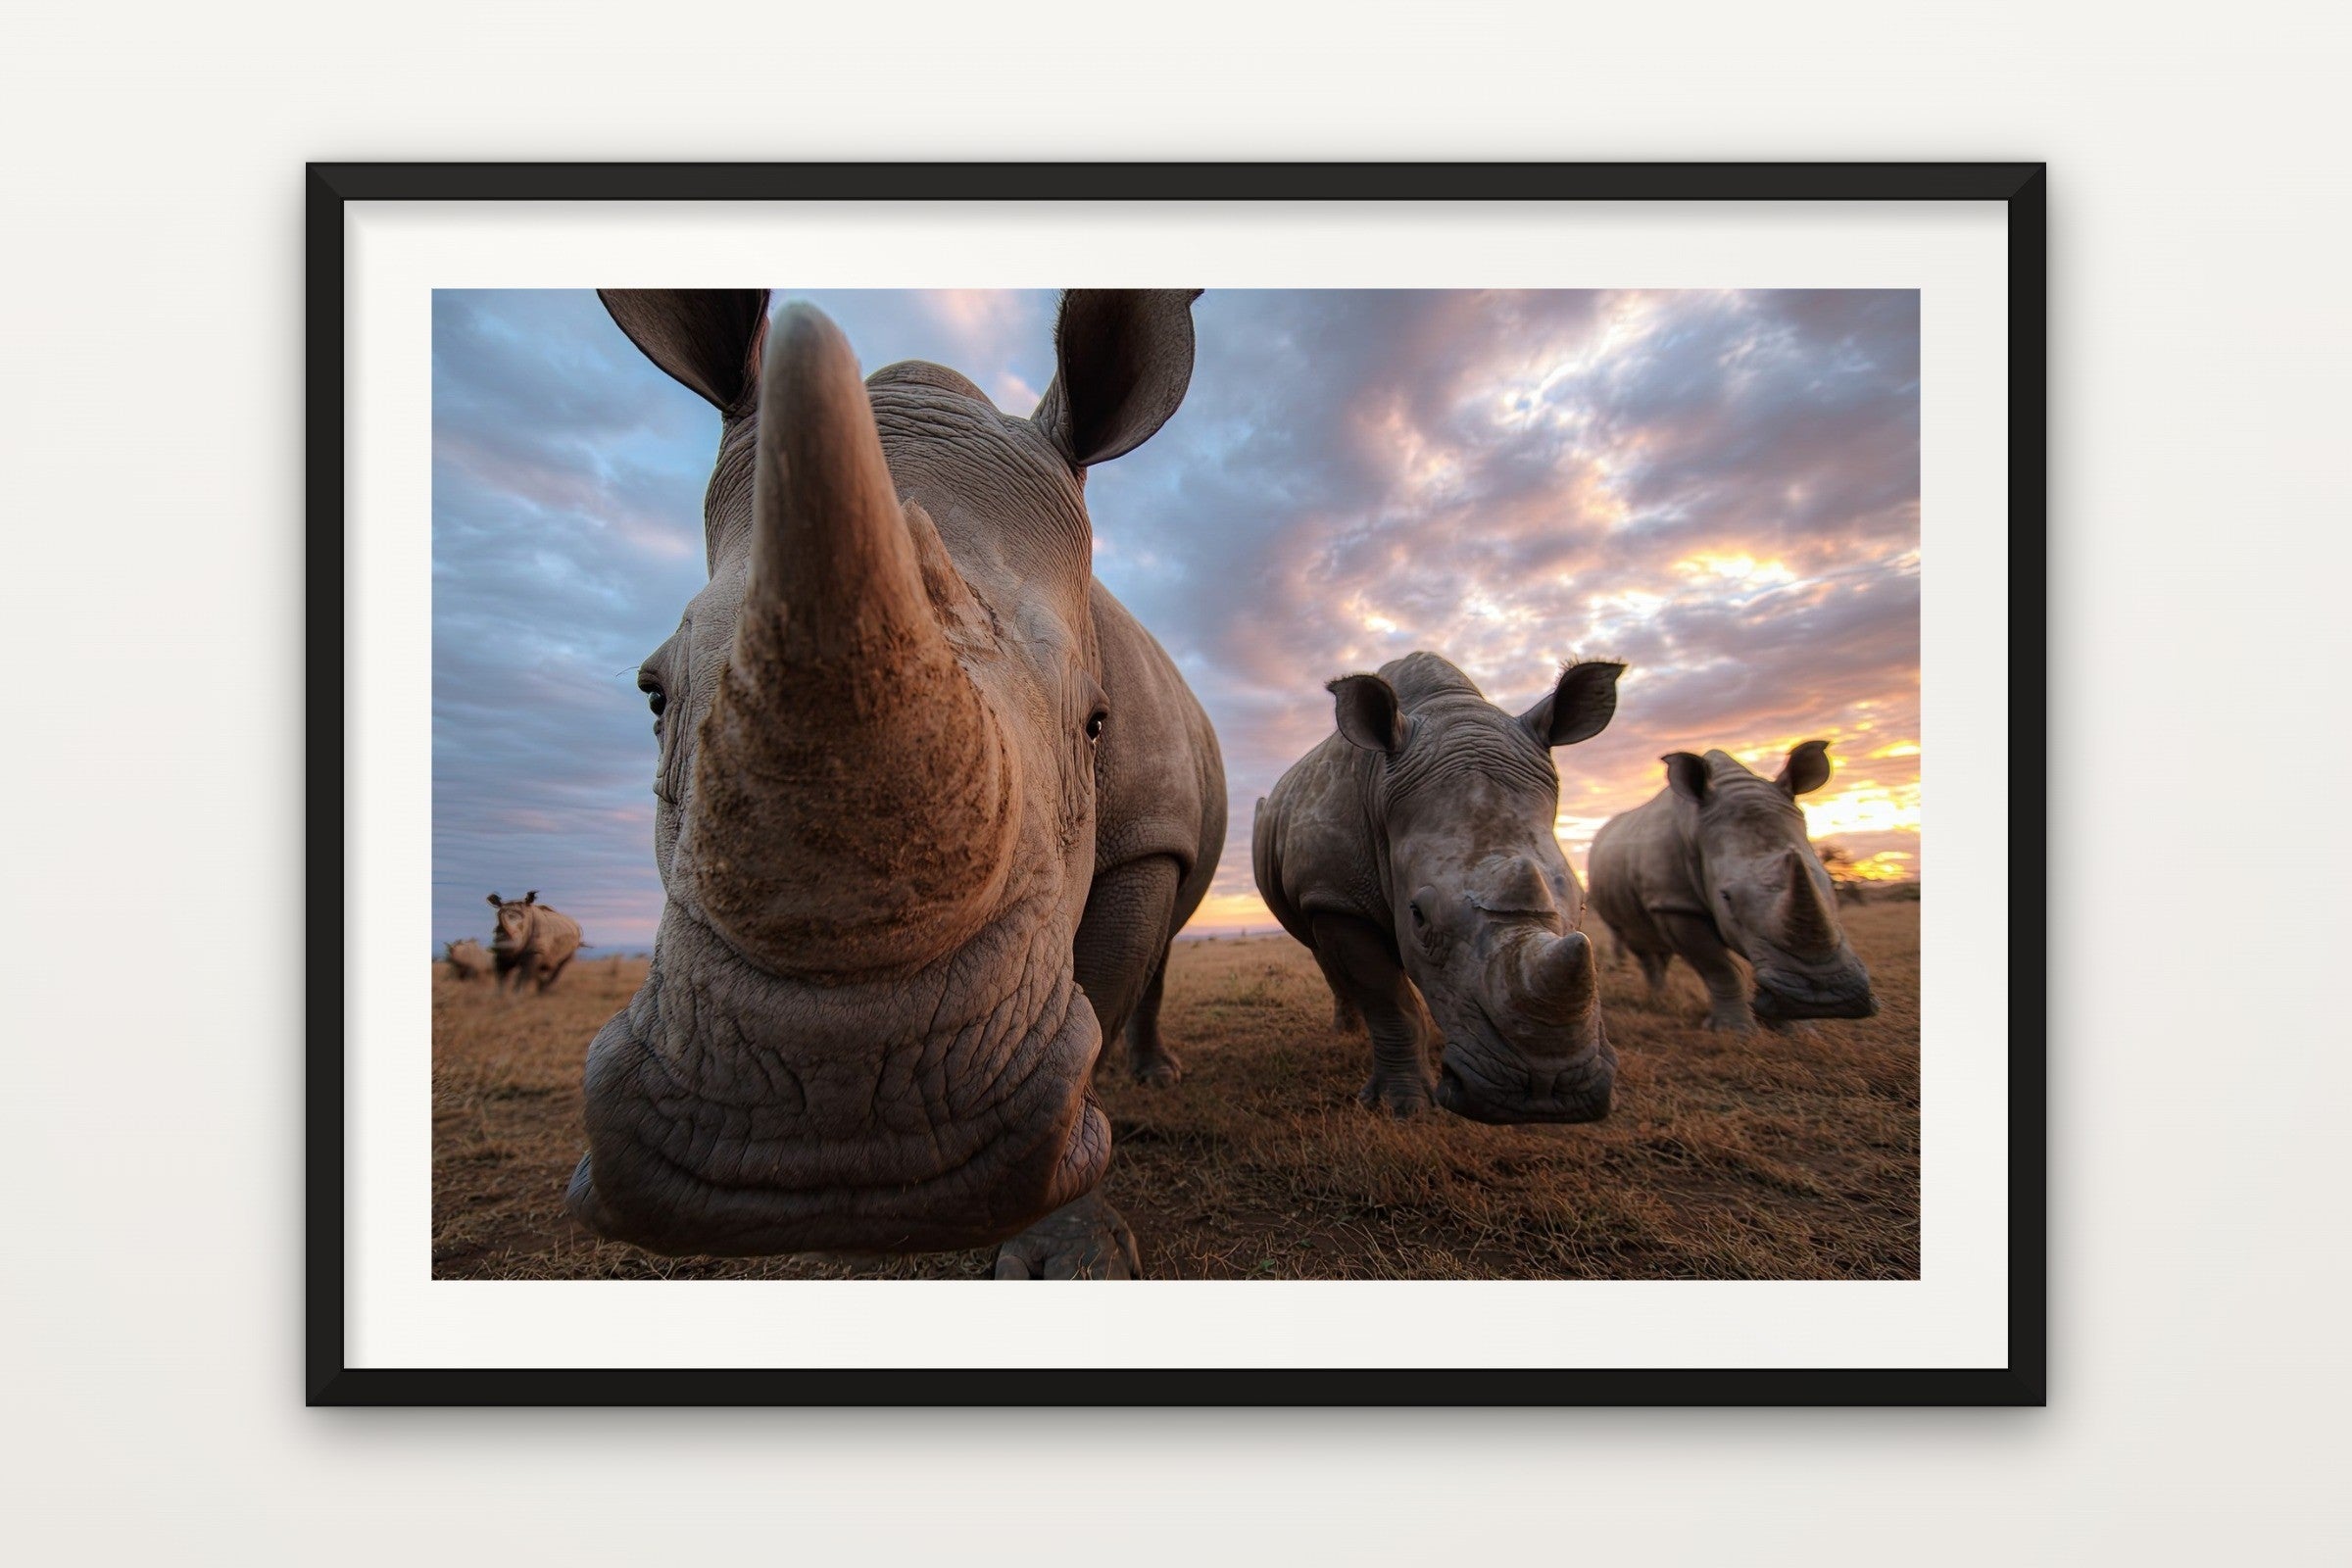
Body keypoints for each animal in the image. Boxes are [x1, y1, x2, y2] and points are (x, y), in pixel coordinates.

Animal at [564, 289, 1224, 1278]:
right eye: (652, 695)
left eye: (1098, 724)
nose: (839, 1112)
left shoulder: (1147, 835)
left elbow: (1101, 1004)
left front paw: (1072, 1256)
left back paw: (1157, 1077)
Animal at [1251, 652, 1626, 1123]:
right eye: (1418, 915)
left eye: (1582, 907)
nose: (1544, 1093)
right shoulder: (1336, 895)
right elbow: (1388, 999)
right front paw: (1403, 1107)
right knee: (1320, 949)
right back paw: (1346, 1033)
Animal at [1586, 742, 1878, 1031]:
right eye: (1726, 897)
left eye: (1829, 883)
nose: (1824, 998)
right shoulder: (1676, 904)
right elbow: (1719, 967)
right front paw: (1733, 1030)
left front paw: (1797, 1030)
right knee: (1633, 940)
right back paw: (1657, 998)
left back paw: (1660, 997)